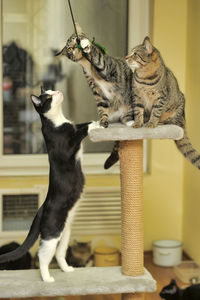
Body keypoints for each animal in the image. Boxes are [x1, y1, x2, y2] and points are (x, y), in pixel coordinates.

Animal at [0, 86, 99, 282]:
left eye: (52, 90)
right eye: (48, 96)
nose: (57, 91)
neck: (58, 120)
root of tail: (42, 208)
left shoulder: (72, 125)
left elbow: (79, 125)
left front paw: (97, 122)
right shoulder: (67, 146)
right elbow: (80, 132)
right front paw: (93, 126)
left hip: (65, 231)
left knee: (60, 254)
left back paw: (67, 269)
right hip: (52, 234)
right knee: (43, 255)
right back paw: (47, 278)